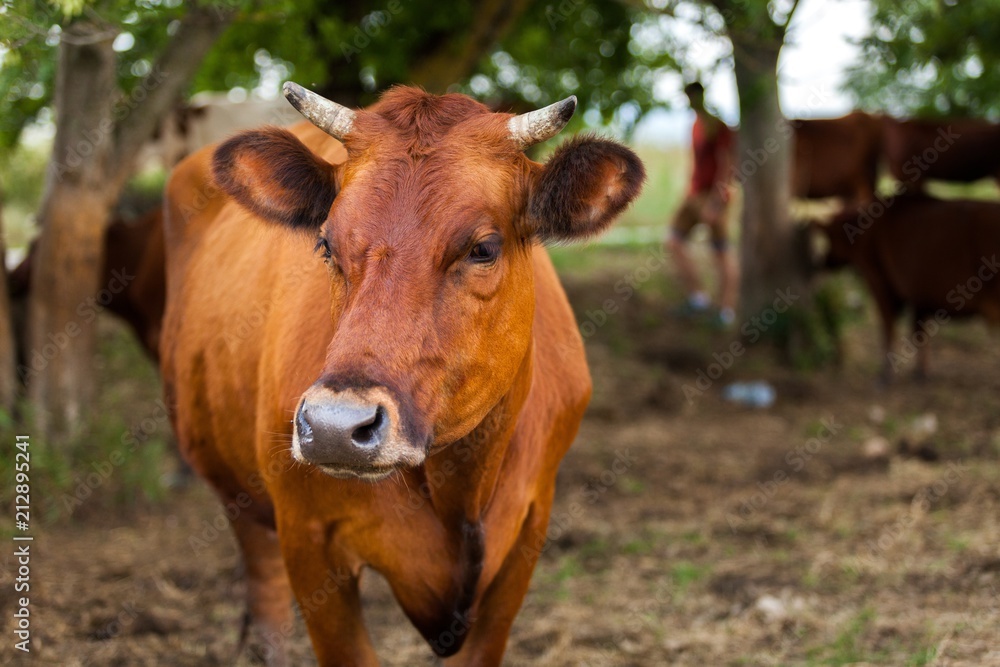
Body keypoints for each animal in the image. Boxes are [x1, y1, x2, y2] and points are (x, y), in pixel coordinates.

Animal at [812, 194, 1000, 380]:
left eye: (830, 237)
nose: (823, 263)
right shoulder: (918, 294)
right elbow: (919, 331)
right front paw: (920, 373)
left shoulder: (880, 283)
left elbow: (889, 328)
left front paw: (886, 374)